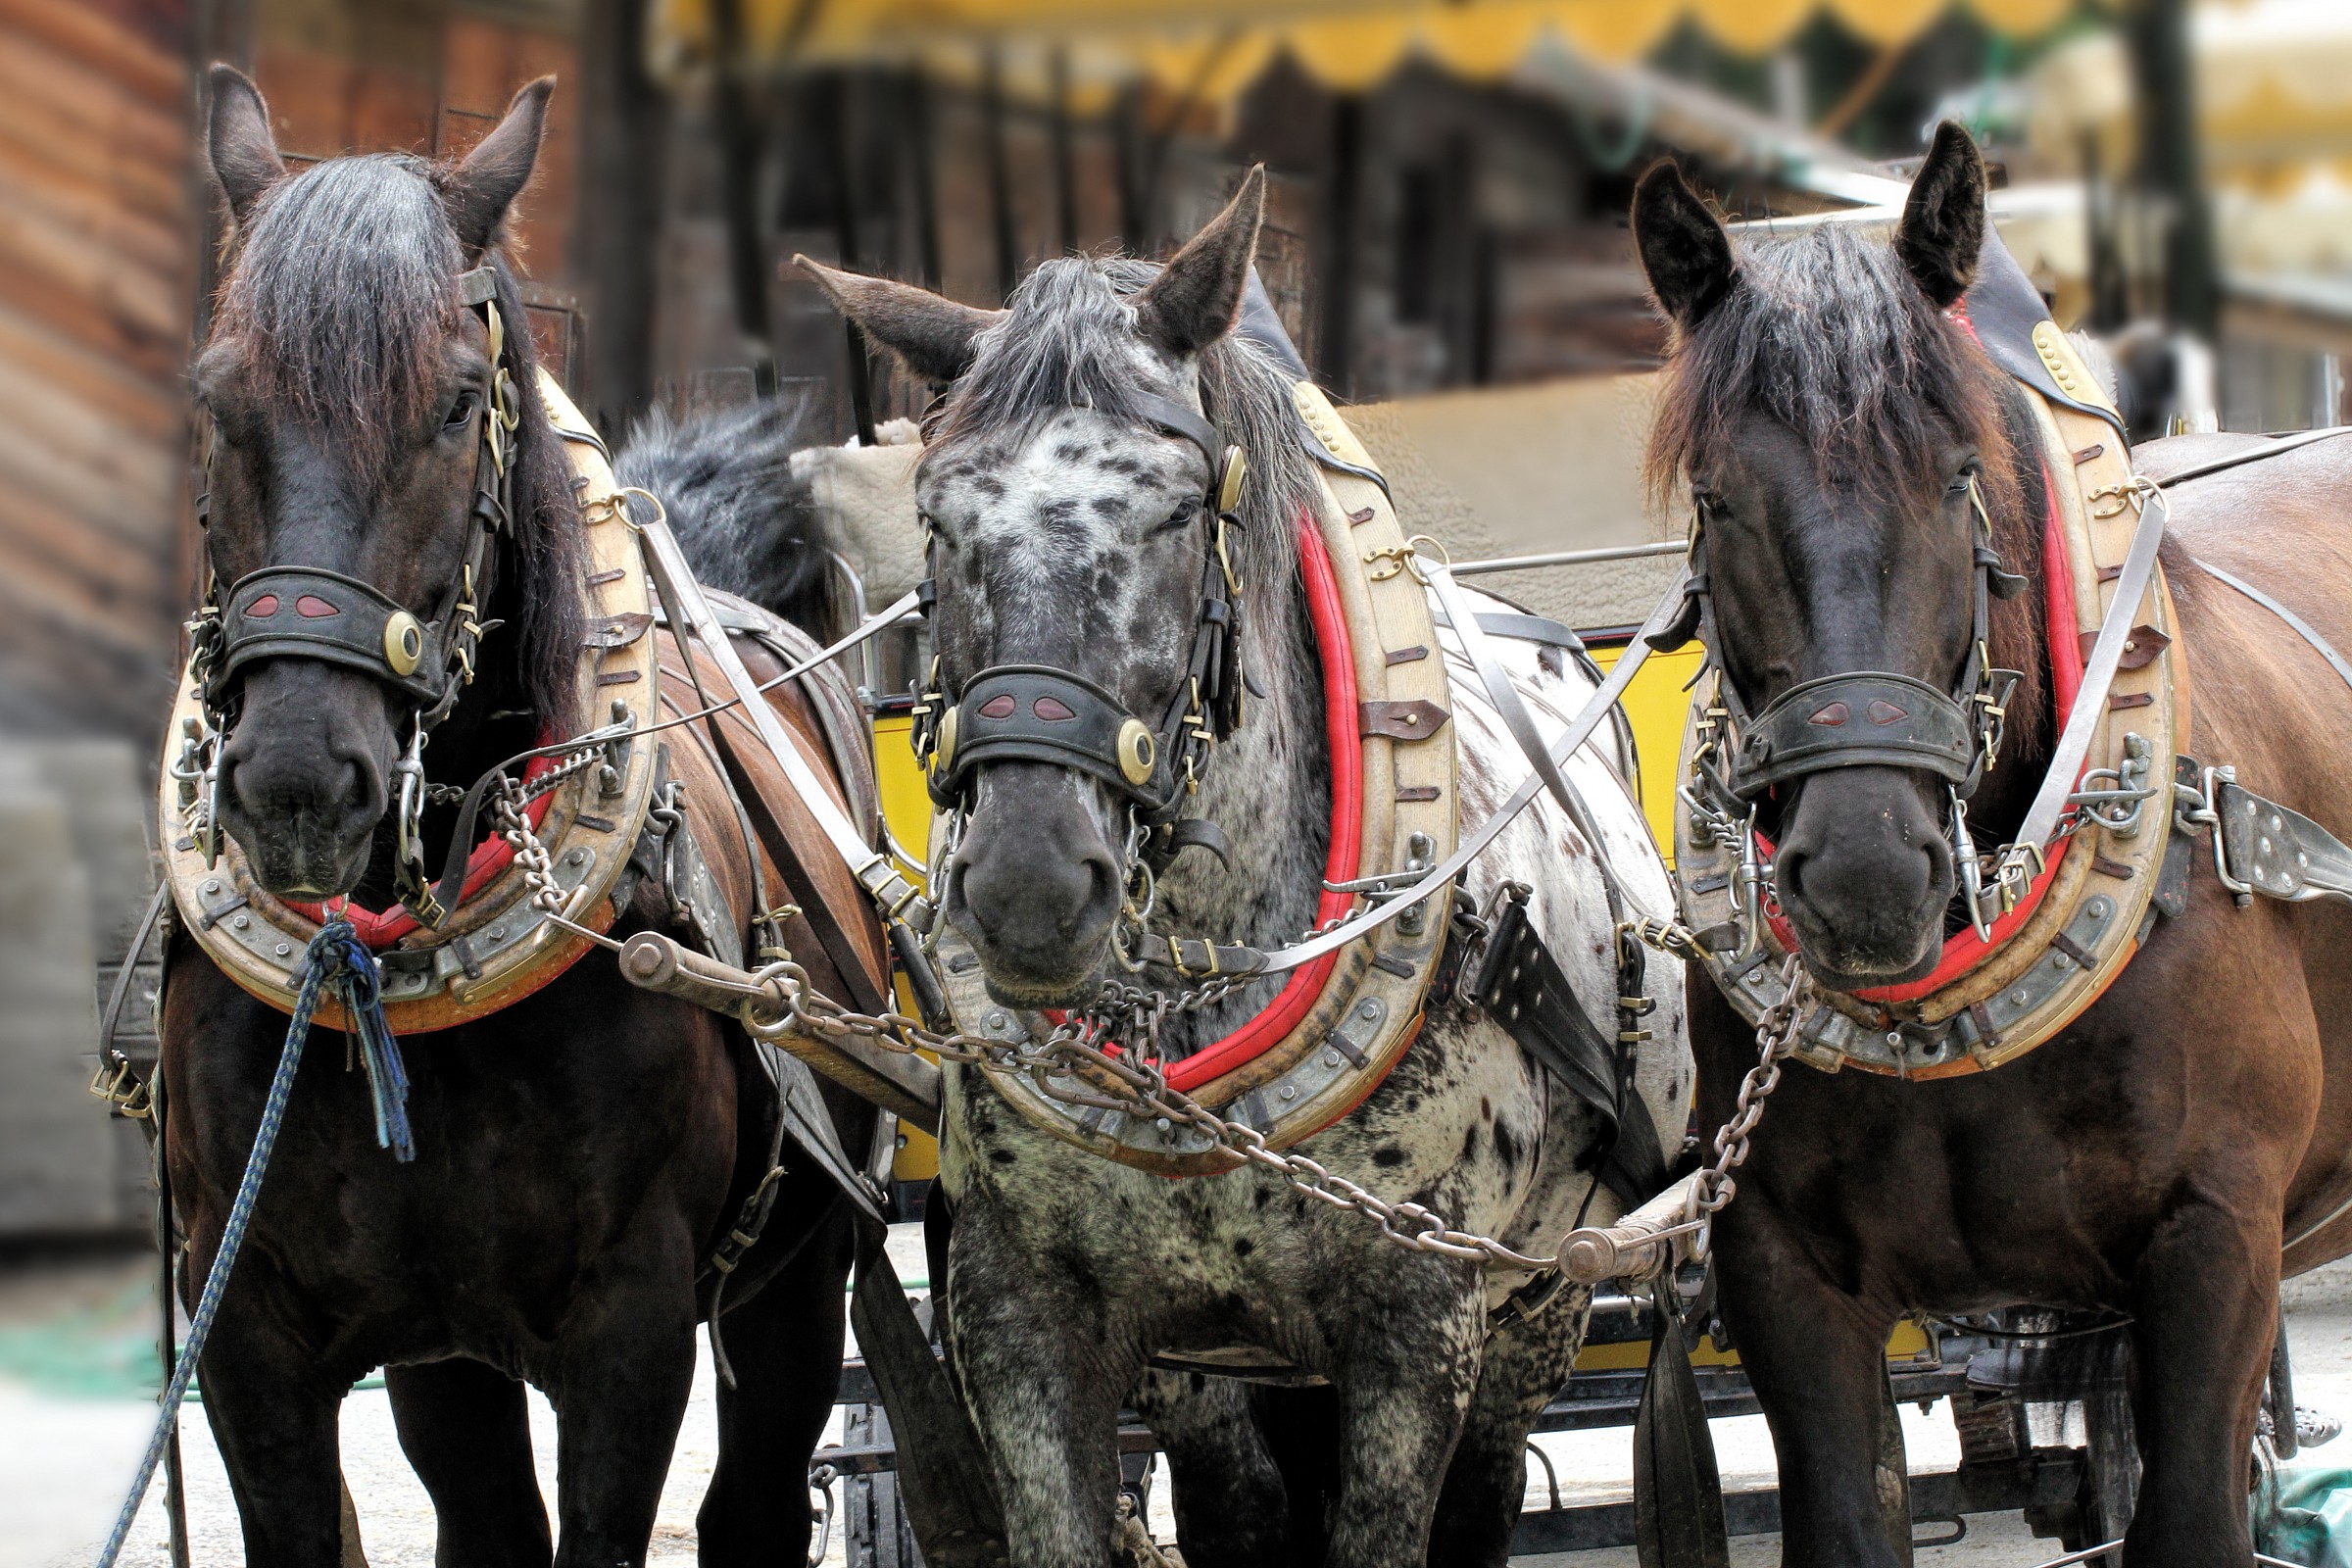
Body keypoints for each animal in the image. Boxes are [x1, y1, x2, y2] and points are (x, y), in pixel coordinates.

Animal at [160, 66, 876, 1566]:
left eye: (447, 407)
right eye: (218, 399)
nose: (298, 780)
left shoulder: (634, 1328)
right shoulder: (244, 1324)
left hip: (799, 1270)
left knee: (756, 1495)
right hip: (445, 1353)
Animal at [797, 169, 1694, 1568]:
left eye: (1178, 508)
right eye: (935, 517)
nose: (1030, 888)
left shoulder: (1418, 1322)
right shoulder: (1031, 1318)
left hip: (1544, 1292)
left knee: (1487, 1484)